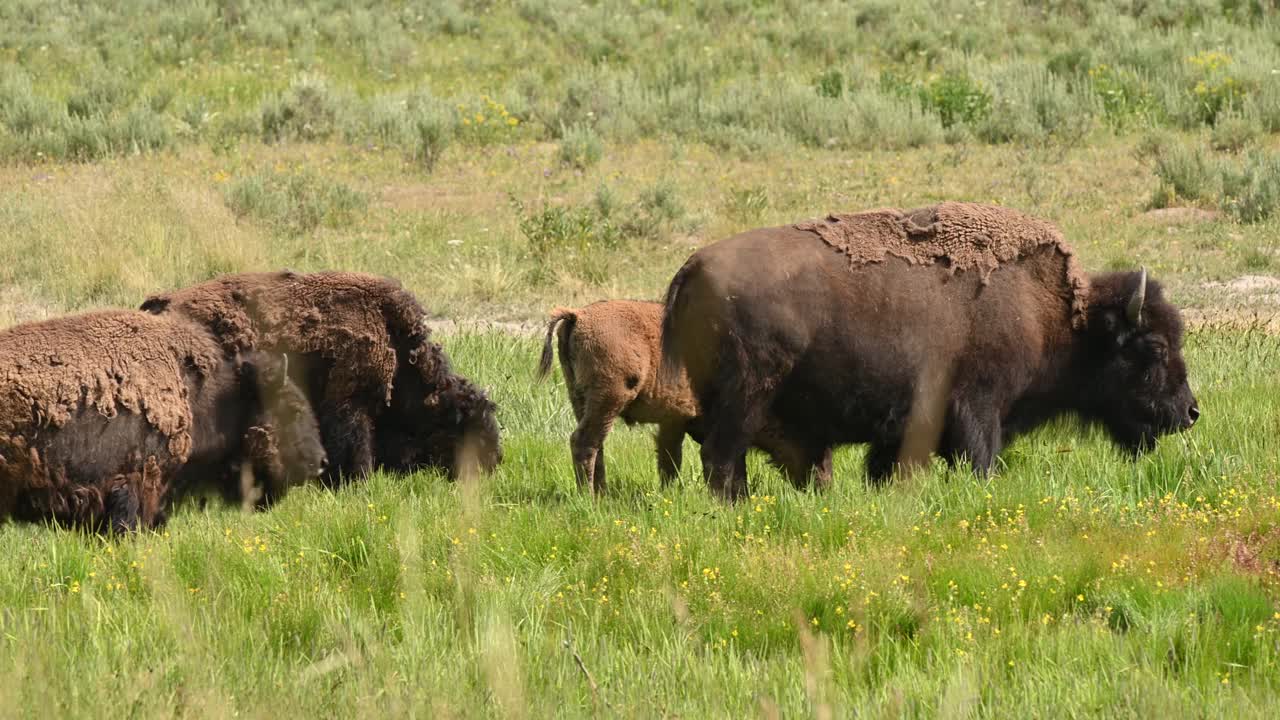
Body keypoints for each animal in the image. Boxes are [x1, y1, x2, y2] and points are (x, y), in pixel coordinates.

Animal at [535, 299, 834, 489]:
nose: (824, 484)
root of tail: (578, 315)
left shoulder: (673, 422)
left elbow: (669, 461)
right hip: (608, 398)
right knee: (585, 443)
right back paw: (591, 498)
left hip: (581, 399)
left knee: (597, 446)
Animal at [660, 198, 1198, 497]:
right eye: (1152, 347)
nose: (1190, 411)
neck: (1058, 315)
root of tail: (692, 267)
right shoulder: (978, 409)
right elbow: (980, 460)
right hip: (748, 396)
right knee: (723, 458)